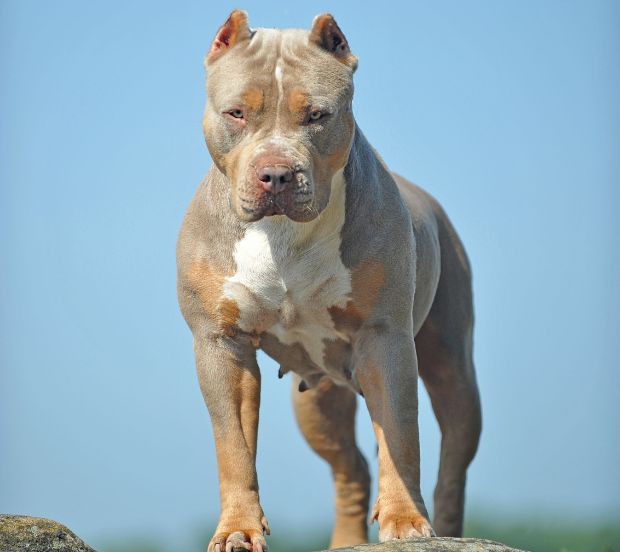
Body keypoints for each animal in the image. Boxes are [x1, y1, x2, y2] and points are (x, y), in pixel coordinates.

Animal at [177, 9, 482, 552]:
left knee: (451, 460)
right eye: (236, 114)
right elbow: (233, 446)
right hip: (318, 399)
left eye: (317, 115)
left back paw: (444, 529)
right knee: (351, 468)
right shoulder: (220, 344)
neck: (282, 237)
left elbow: (400, 437)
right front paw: (237, 529)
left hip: (453, 367)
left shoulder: (385, 339)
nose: (276, 174)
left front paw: (406, 521)